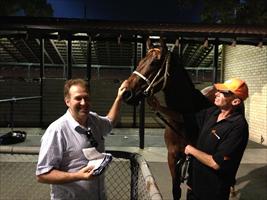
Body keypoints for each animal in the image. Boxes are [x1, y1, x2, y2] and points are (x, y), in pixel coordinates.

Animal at [122, 38, 217, 199]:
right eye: (141, 61)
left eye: (154, 63)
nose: (125, 93)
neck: (182, 121)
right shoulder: (172, 157)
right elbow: (176, 191)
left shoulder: (195, 159)